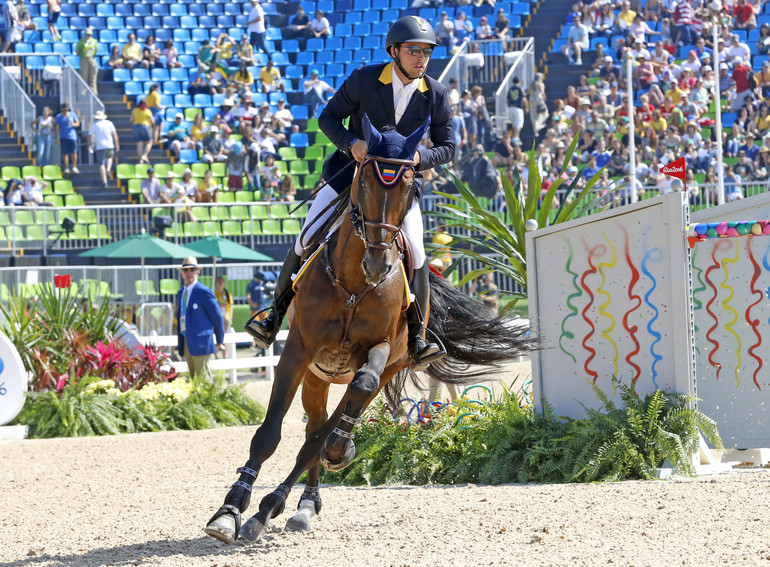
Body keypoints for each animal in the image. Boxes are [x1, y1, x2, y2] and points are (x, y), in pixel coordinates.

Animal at [201, 115, 532, 544]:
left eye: (408, 185)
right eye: (363, 182)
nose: (378, 264)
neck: (355, 284)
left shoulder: (381, 349)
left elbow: (359, 387)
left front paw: (341, 449)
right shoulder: (298, 351)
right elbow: (268, 434)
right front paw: (228, 512)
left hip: (388, 366)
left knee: (319, 436)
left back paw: (289, 502)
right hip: (317, 376)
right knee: (313, 428)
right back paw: (285, 506)